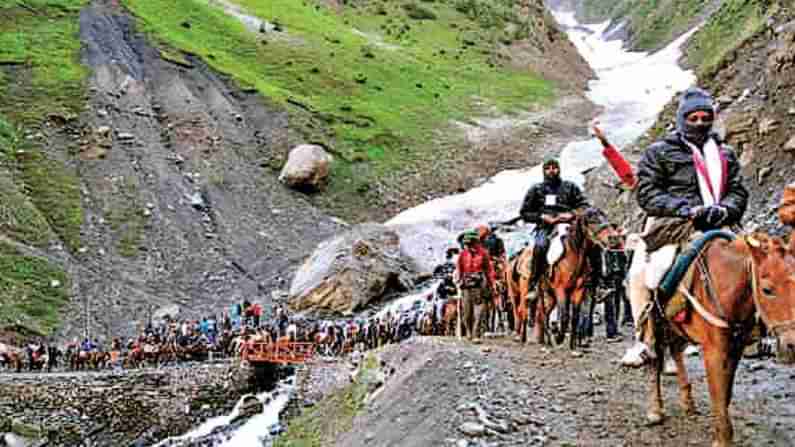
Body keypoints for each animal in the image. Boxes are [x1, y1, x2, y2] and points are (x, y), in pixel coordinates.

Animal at [648, 234, 795, 447]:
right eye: (767, 290)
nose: (792, 345)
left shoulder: (736, 349)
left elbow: (726, 393)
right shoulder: (713, 352)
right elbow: (717, 395)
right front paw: (723, 439)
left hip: (677, 328)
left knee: (675, 351)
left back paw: (688, 402)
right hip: (656, 324)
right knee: (655, 361)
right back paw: (655, 410)